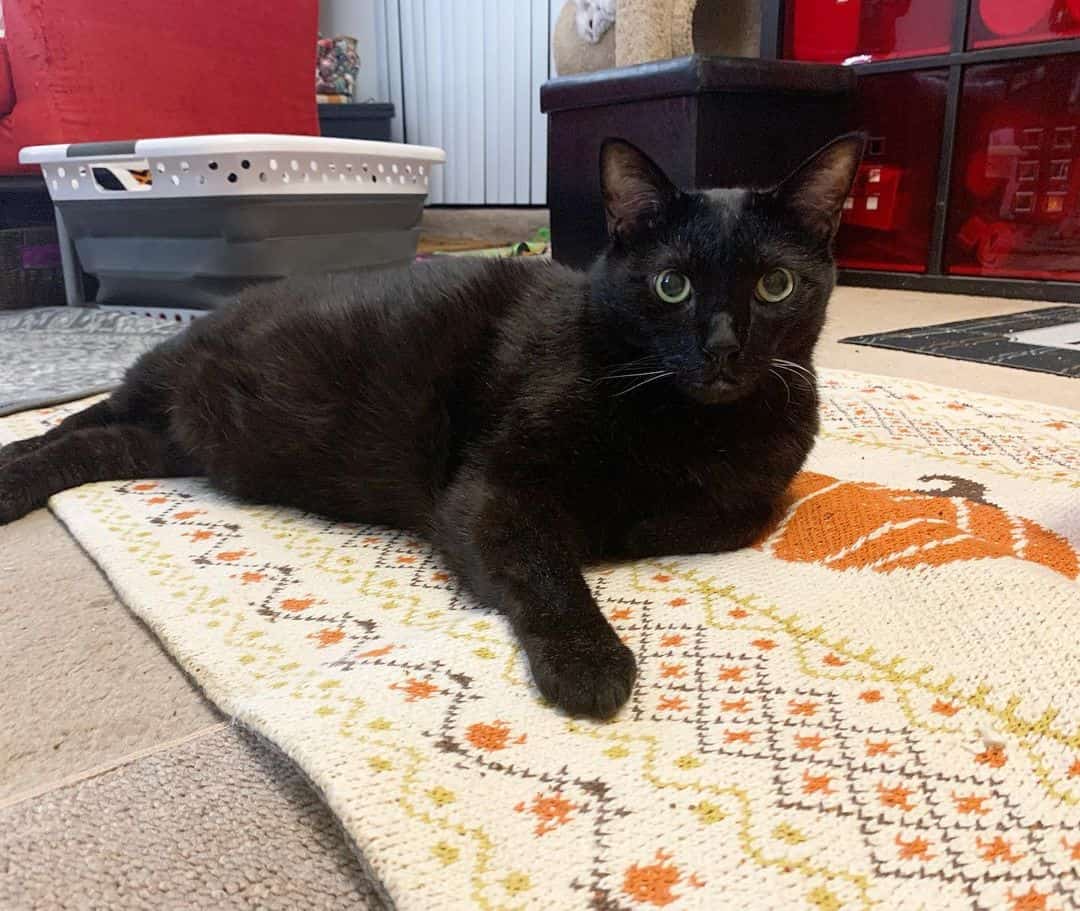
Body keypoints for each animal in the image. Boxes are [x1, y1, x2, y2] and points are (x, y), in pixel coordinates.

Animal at [0, 135, 859, 716]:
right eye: (671, 285)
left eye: (776, 286)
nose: (723, 346)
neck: (689, 425)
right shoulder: (490, 490)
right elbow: (548, 567)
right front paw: (590, 661)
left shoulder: (756, 490)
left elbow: (729, 512)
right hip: (159, 388)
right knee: (80, 418)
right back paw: (12, 471)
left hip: (164, 439)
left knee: (88, 438)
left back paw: (15, 472)